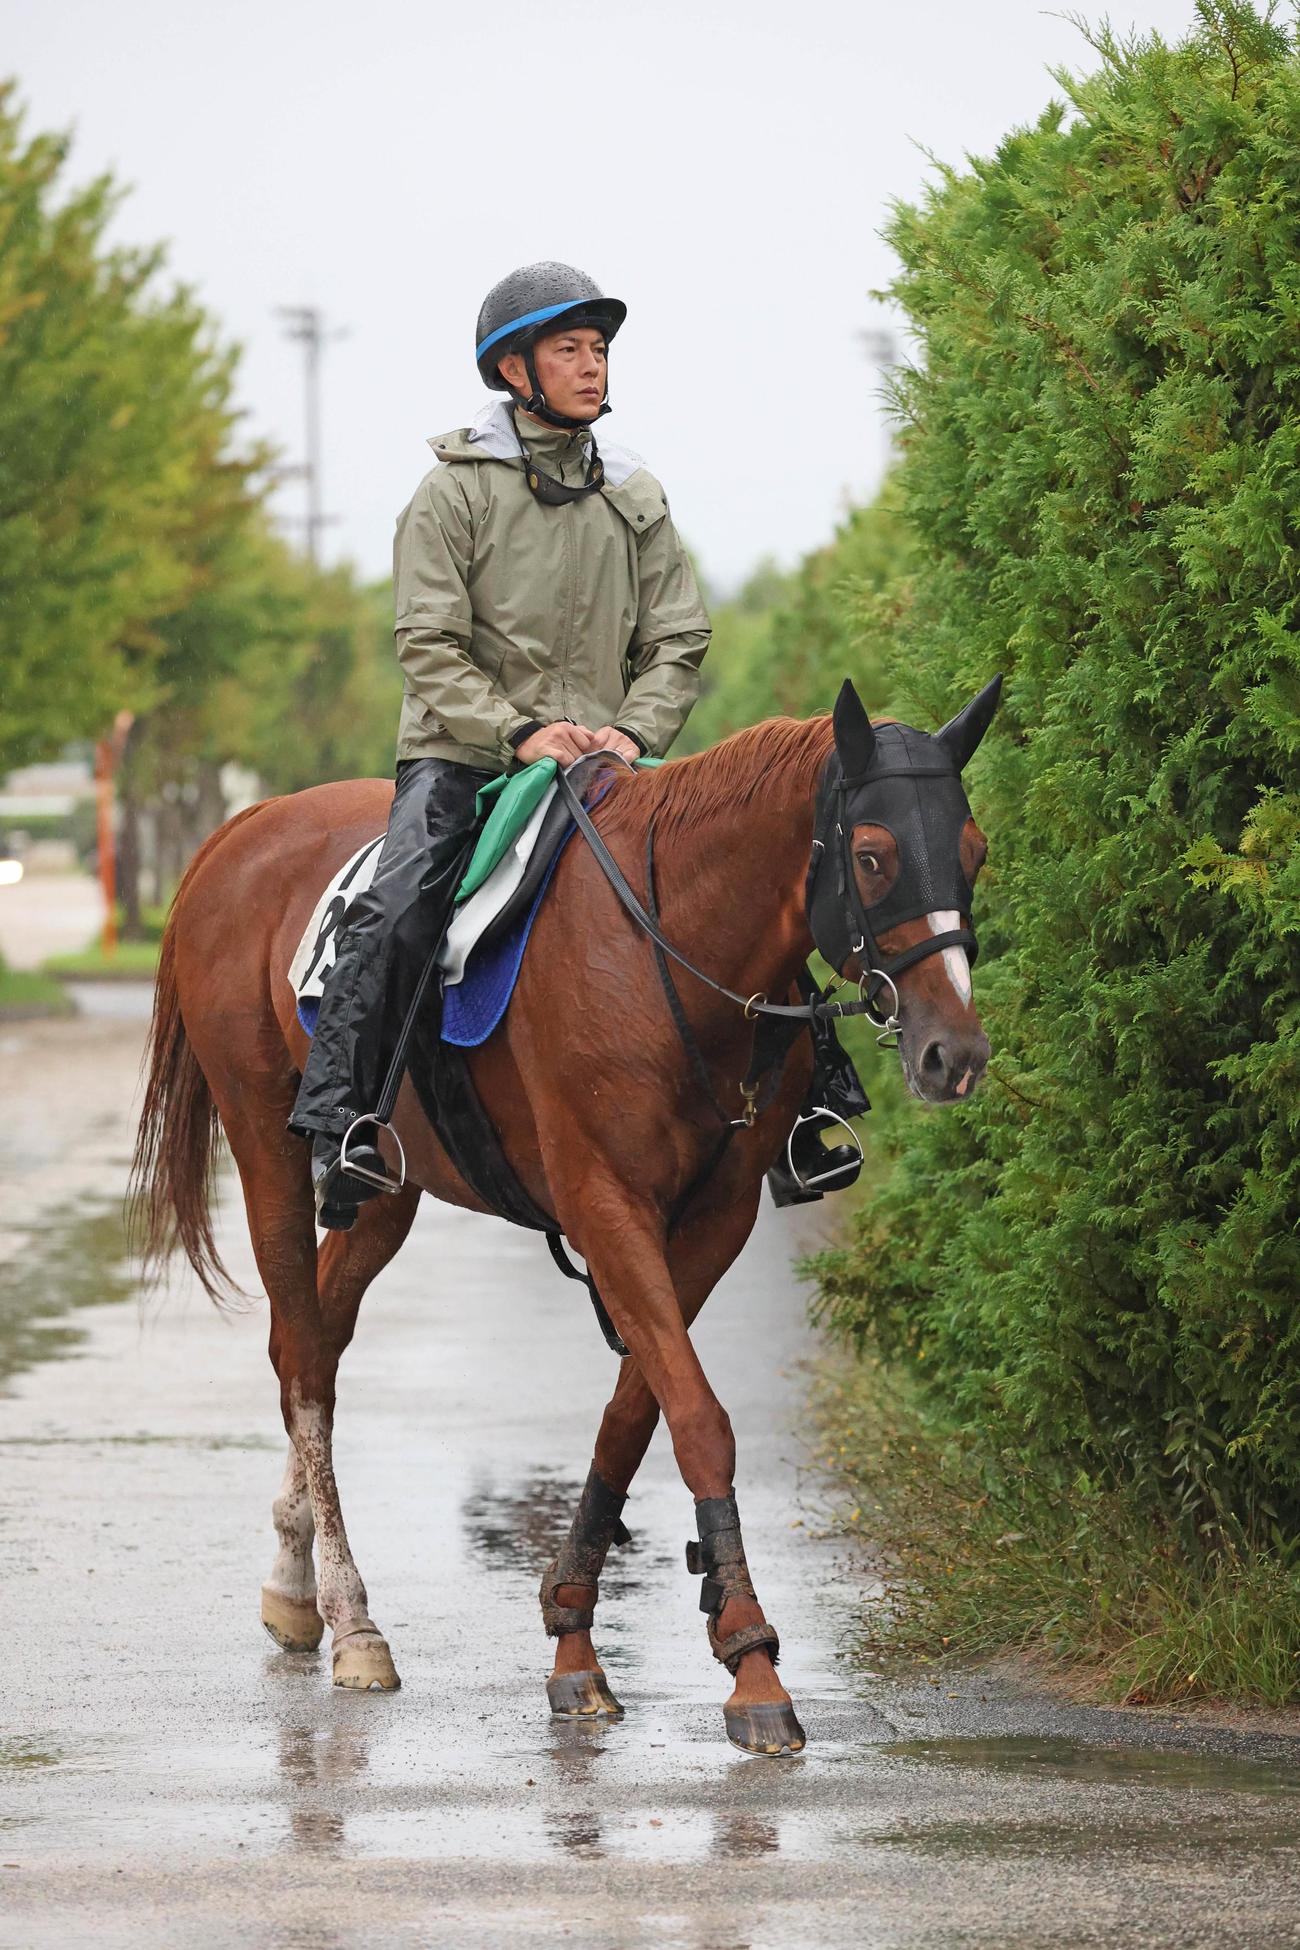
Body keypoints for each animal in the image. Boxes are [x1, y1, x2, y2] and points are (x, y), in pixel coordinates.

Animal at [130, 675, 1000, 1757]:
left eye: (974, 852)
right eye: (874, 853)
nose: (954, 1052)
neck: (666, 943)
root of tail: (243, 828)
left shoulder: (711, 1221)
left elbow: (635, 1414)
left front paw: (577, 1635)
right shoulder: (604, 1202)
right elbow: (697, 1416)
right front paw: (752, 1661)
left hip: (388, 1191)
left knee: (312, 1342)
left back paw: (295, 1591)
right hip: (265, 1150)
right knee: (302, 1365)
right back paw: (352, 1621)